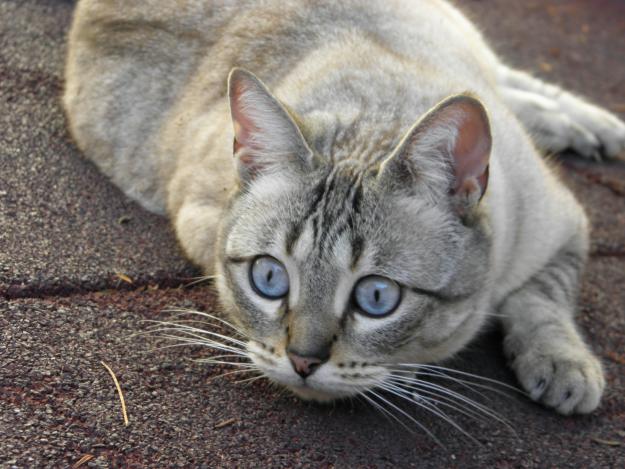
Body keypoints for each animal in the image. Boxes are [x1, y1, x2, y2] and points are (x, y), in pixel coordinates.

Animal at [64, 0, 624, 416]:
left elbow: (543, 301)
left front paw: (565, 371)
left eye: (377, 297)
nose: (302, 361)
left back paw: (594, 127)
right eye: (269, 278)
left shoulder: (567, 226)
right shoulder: (195, 215)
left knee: (511, 82)